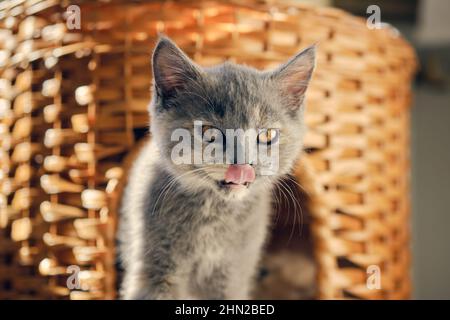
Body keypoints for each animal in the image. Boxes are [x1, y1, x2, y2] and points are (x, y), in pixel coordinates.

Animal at [119, 37, 316, 300]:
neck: (214, 213)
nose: (242, 165)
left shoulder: (233, 273)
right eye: (209, 132)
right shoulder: (155, 268)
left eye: (267, 135)